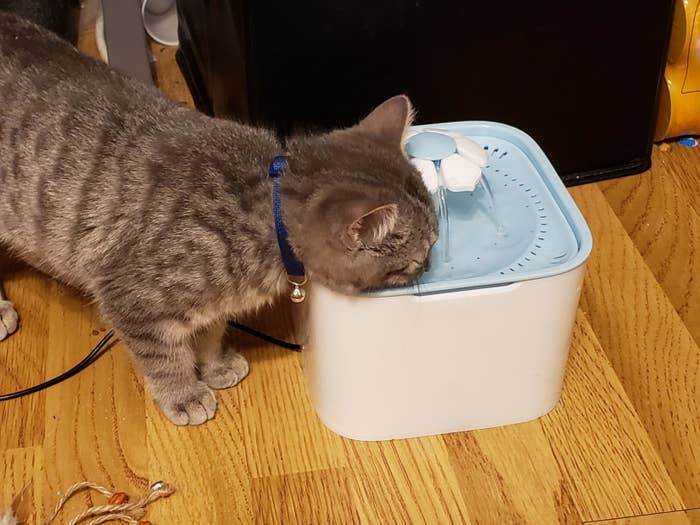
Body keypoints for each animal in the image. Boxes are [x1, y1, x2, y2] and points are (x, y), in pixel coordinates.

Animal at [0, 10, 438, 424]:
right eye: (417, 257)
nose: (430, 265)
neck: (266, 208)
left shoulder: (212, 302)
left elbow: (209, 331)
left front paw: (215, 363)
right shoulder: (128, 297)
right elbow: (164, 357)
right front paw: (184, 394)